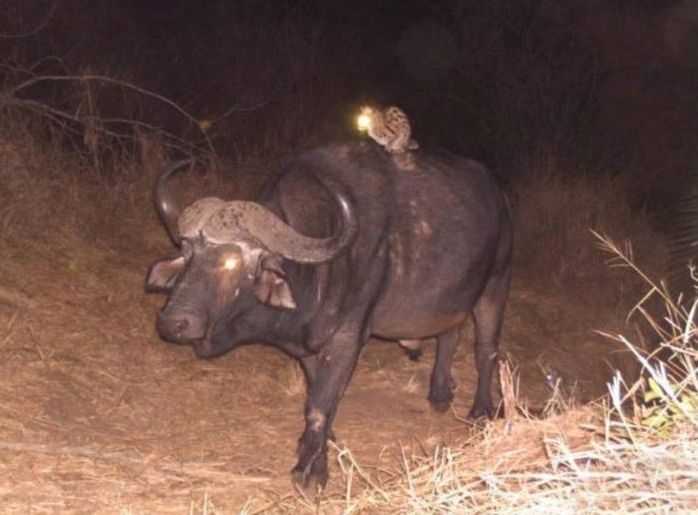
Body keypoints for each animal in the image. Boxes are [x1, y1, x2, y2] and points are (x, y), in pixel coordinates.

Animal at [145, 143, 512, 490]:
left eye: (231, 261)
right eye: (186, 254)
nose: (172, 323)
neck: (316, 273)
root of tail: (498, 194)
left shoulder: (347, 339)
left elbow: (320, 405)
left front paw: (311, 470)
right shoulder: (310, 346)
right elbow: (317, 394)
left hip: (494, 285)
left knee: (485, 350)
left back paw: (481, 411)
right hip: (451, 300)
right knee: (450, 334)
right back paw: (439, 394)